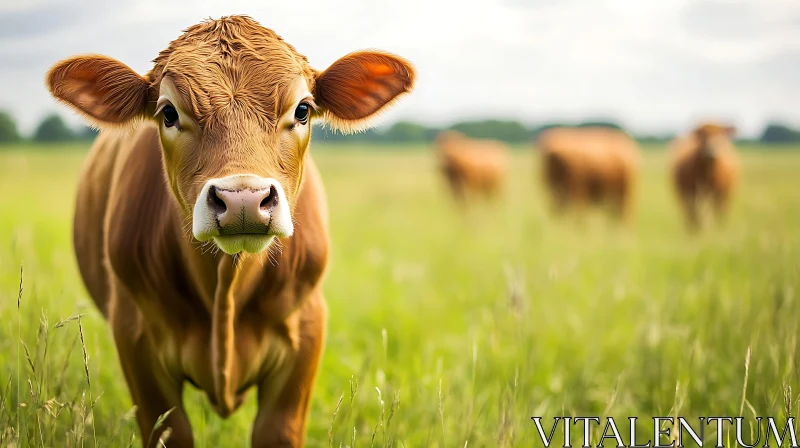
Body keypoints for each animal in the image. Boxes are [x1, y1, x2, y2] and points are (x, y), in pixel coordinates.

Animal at [47, 15, 416, 446]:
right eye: (168, 113)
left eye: (303, 110)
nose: (243, 199)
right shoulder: (135, 337)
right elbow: (169, 430)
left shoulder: (305, 333)